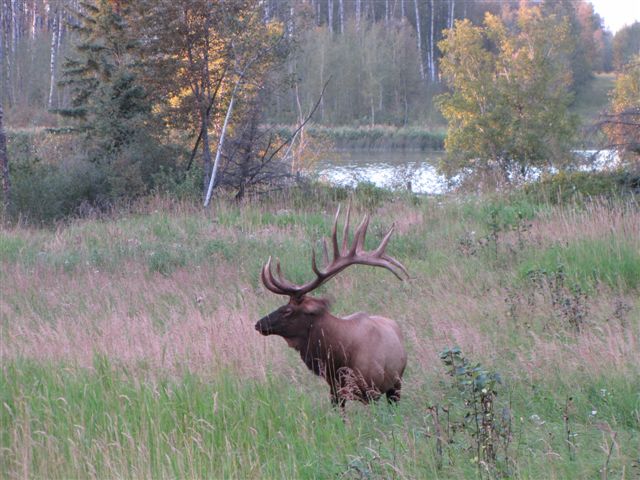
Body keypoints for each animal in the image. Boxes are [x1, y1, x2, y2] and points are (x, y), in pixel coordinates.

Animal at [255, 204, 409, 408]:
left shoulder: (372, 388)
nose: (258, 324)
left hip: (396, 384)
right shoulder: (335, 391)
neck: (339, 356)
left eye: (287, 310)